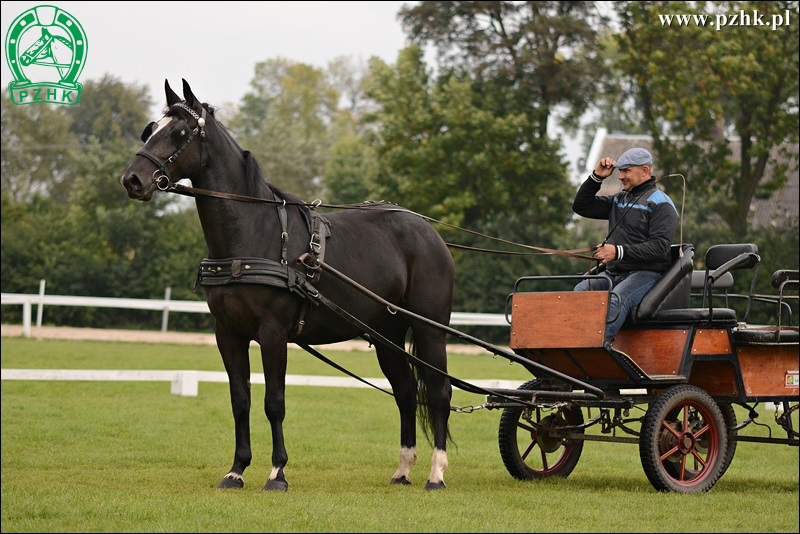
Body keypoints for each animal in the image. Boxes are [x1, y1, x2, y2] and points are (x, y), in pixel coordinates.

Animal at [119, 78, 456, 494]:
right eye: (150, 129)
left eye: (180, 133)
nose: (132, 180)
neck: (252, 236)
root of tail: (428, 230)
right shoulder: (227, 334)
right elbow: (240, 400)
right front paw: (236, 470)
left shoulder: (273, 333)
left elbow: (273, 401)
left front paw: (277, 473)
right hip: (387, 334)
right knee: (407, 394)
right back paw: (403, 470)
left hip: (429, 330)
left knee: (440, 393)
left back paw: (436, 474)